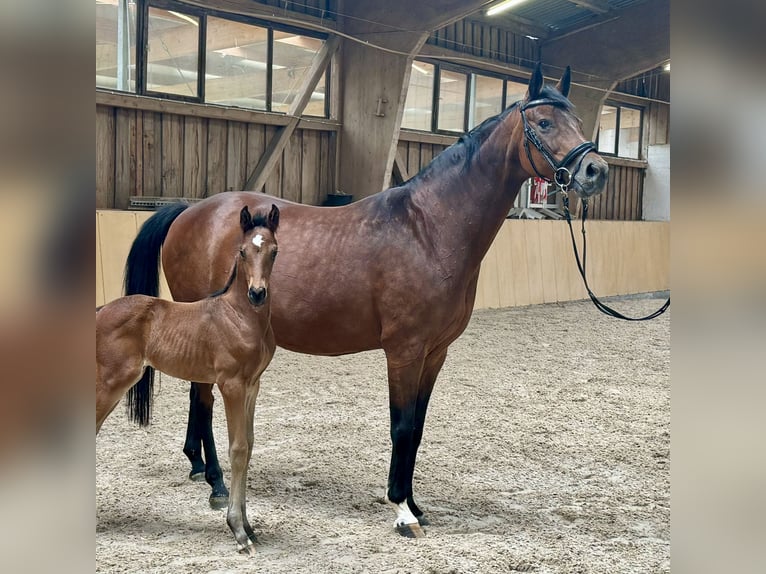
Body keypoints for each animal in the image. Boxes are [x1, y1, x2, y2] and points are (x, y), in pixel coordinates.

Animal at [124, 65, 608, 536]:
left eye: (579, 121)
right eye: (544, 123)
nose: (595, 171)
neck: (428, 229)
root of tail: (190, 210)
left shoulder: (435, 353)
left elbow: (418, 428)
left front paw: (415, 503)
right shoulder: (404, 351)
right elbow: (402, 425)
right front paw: (401, 509)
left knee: (198, 397)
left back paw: (200, 467)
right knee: (203, 398)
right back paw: (217, 483)